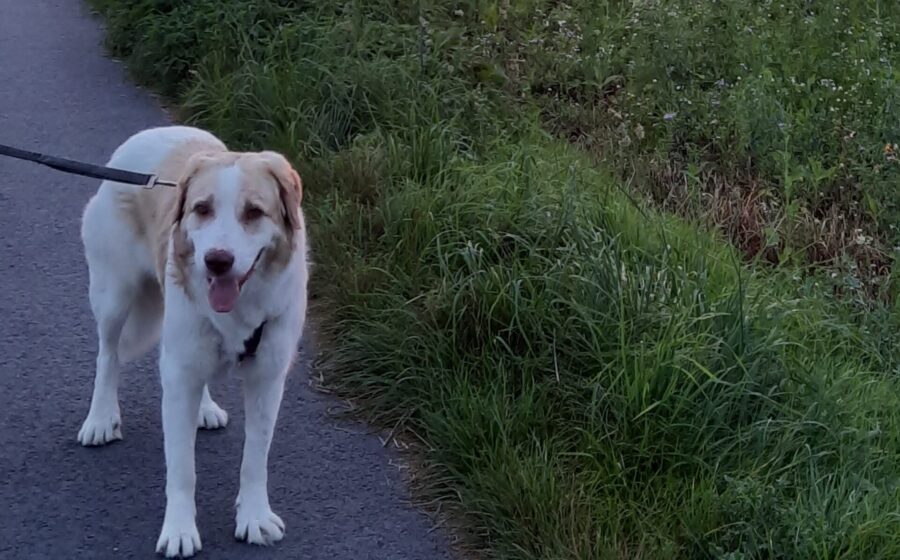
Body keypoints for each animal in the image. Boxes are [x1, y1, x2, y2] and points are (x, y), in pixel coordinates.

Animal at [77, 125, 309, 557]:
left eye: (254, 212)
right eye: (202, 209)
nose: (217, 261)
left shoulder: (267, 378)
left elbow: (255, 459)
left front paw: (253, 516)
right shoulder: (179, 377)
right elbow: (182, 468)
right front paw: (180, 529)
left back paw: (204, 409)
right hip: (113, 295)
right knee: (108, 355)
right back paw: (99, 417)